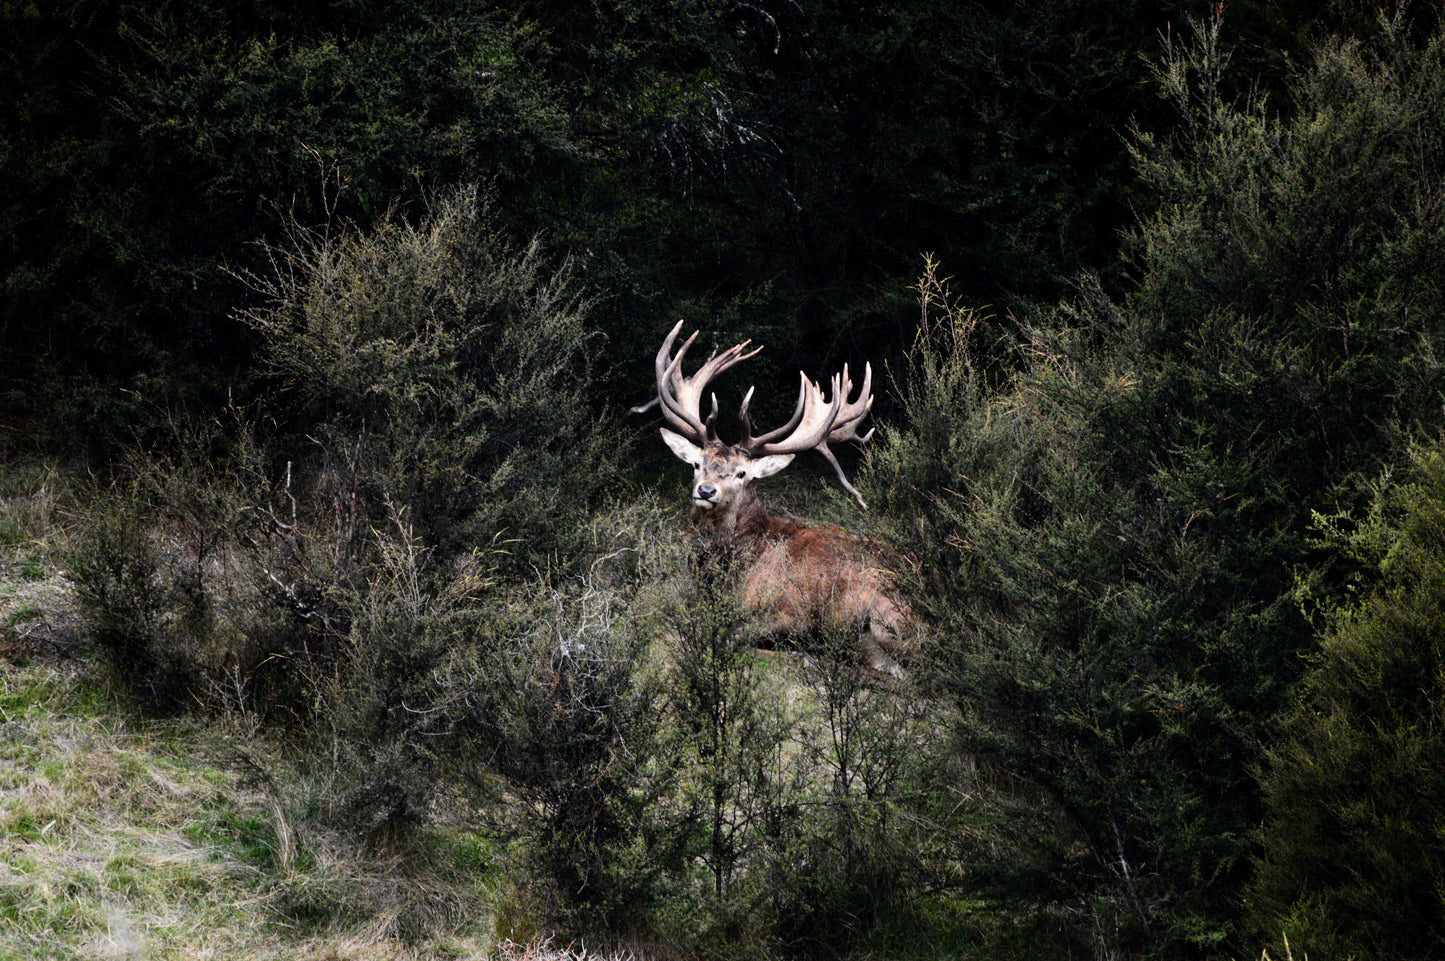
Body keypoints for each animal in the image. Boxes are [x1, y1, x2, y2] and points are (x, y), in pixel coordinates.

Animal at [633, 321, 913, 679]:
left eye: (742, 474)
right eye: (697, 464)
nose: (706, 491)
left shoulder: (792, 610)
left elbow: (732, 637)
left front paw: (798, 654)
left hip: (886, 615)